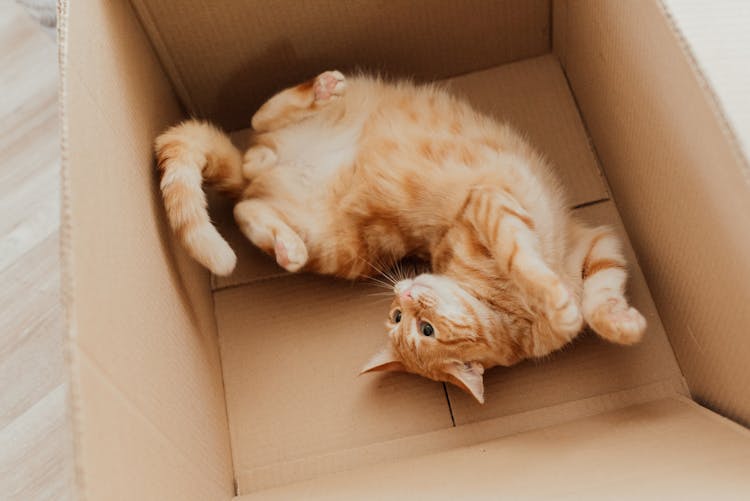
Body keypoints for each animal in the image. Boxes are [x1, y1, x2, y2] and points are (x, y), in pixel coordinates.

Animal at [154, 69, 648, 402]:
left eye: (419, 326)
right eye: (401, 320)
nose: (405, 293)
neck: (508, 313)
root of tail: (262, 174)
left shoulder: (596, 243)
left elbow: (600, 297)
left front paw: (623, 325)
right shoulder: (489, 203)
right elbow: (525, 261)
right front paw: (561, 307)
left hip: (331, 237)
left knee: (249, 179)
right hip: (343, 251)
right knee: (256, 142)